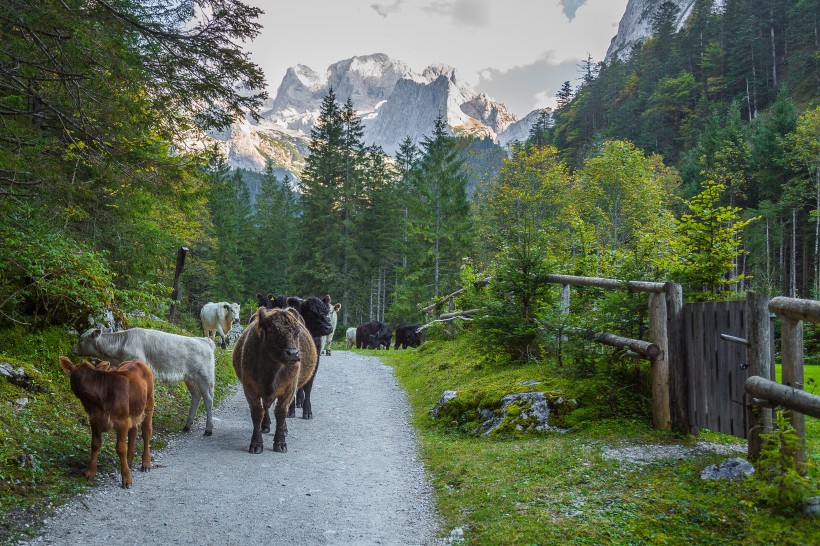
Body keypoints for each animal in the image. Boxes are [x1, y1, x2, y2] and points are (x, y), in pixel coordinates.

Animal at [60, 354, 155, 486]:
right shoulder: (94, 419)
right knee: (133, 431)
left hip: (149, 402)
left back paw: (146, 463)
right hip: (133, 410)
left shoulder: (122, 421)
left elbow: (121, 448)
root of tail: (136, 359)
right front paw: (90, 472)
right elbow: (95, 444)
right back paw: (129, 462)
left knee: (146, 431)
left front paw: (126, 478)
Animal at [72, 328, 216, 434]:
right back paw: (187, 425)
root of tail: (204, 340)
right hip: (190, 378)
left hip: (203, 377)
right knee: (196, 396)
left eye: (81, 339)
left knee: (208, 399)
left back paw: (208, 429)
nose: (73, 349)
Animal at [234, 306, 320, 450]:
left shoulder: (289, 389)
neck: (272, 370)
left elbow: (281, 411)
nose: (293, 353)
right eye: (273, 332)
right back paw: (265, 425)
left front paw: (280, 443)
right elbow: (257, 412)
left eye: (297, 332)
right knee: (266, 407)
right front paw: (256, 443)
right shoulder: (250, 388)